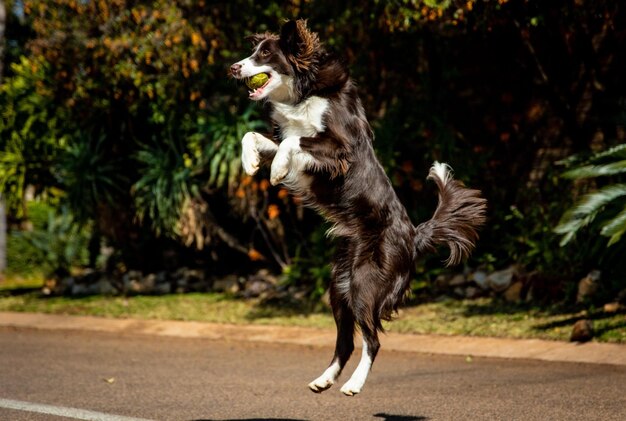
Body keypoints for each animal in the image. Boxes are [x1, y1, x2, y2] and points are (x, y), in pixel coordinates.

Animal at [230, 18, 488, 394]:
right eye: (253, 51)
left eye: (264, 54)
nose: (233, 67)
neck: (304, 92)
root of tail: (414, 235)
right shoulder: (295, 145)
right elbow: (254, 136)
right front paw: (251, 162)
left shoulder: (341, 148)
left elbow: (295, 142)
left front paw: (276, 170)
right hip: (340, 285)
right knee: (347, 341)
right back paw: (324, 380)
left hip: (365, 282)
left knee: (372, 340)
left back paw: (353, 384)